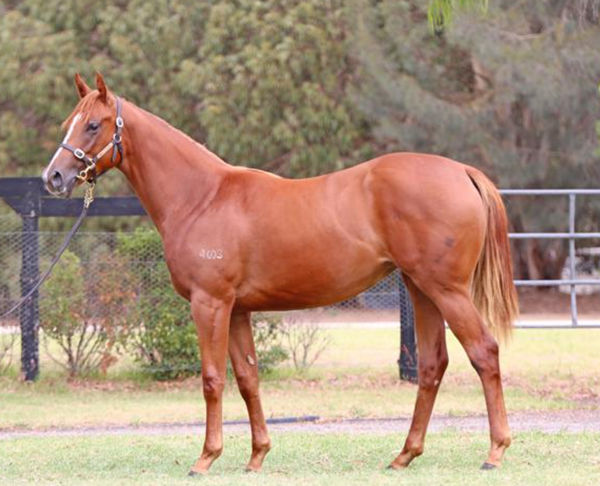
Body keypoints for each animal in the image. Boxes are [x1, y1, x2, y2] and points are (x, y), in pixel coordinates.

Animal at [42, 74, 516, 476]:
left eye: (93, 125)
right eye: (69, 123)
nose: (54, 177)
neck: (203, 196)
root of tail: (462, 171)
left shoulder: (209, 303)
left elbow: (212, 379)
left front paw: (206, 458)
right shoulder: (236, 310)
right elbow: (248, 379)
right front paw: (256, 456)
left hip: (447, 290)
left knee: (484, 352)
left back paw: (495, 451)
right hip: (421, 289)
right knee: (433, 364)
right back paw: (404, 455)